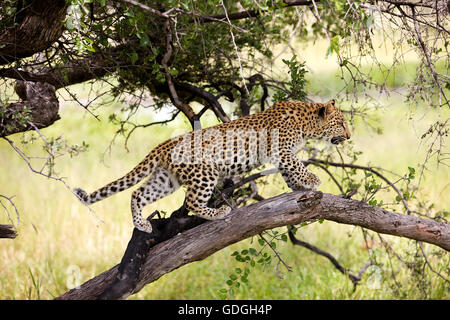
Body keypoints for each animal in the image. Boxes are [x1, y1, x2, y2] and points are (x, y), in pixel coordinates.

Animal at [74, 100, 350, 232]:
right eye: (341, 123)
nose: (349, 136)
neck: (308, 123)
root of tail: (163, 145)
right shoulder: (281, 150)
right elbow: (297, 165)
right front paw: (312, 180)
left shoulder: (283, 155)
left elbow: (291, 171)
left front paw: (299, 188)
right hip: (204, 174)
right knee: (193, 202)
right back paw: (219, 212)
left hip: (166, 180)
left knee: (137, 193)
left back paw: (141, 225)